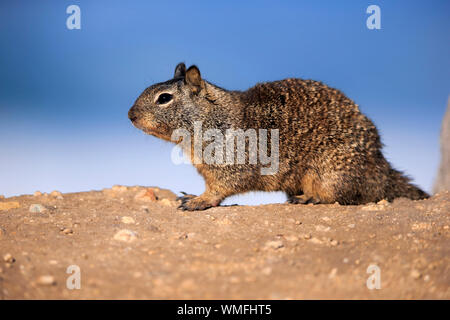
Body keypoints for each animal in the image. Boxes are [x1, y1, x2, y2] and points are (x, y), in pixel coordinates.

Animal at [127, 63, 428, 211]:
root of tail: (381, 167)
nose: (130, 115)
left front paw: (198, 201)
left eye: (164, 98)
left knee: (342, 197)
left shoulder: (230, 165)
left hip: (330, 173)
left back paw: (309, 199)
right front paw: (191, 195)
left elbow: (220, 189)